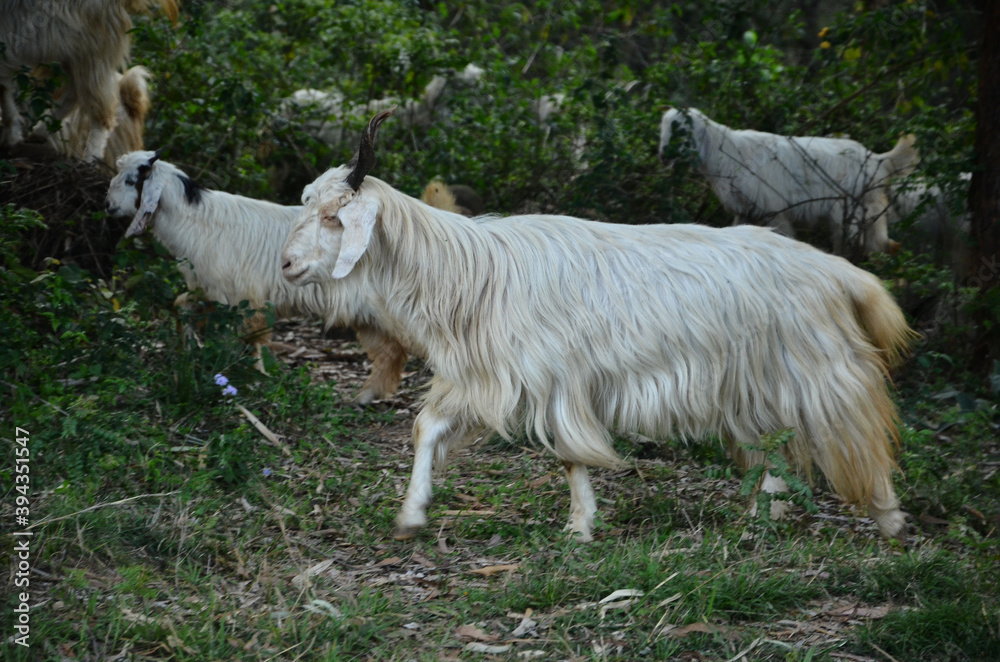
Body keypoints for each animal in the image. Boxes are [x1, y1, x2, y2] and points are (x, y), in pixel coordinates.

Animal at [0, 0, 177, 161]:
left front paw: (11, 137)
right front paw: (12, 134)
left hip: (91, 41)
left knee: (99, 104)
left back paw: (90, 158)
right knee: (75, 91)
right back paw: (39, 132)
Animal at [104, 150, 409, 404]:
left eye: (131, 181)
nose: (107, 206)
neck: (199, 223)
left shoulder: (247, 296)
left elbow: (253, 338)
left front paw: (257, 379)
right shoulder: (210, 289)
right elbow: (181, 305)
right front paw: (189, 348)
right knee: (390, 350)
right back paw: (368, 396)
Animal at [659, 107, 919, 256]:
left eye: (680, 130)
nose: (662, 156)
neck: (727, 154)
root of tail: (878, 159)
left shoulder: (773, 209)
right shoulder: (745, 209)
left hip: (852, 209)